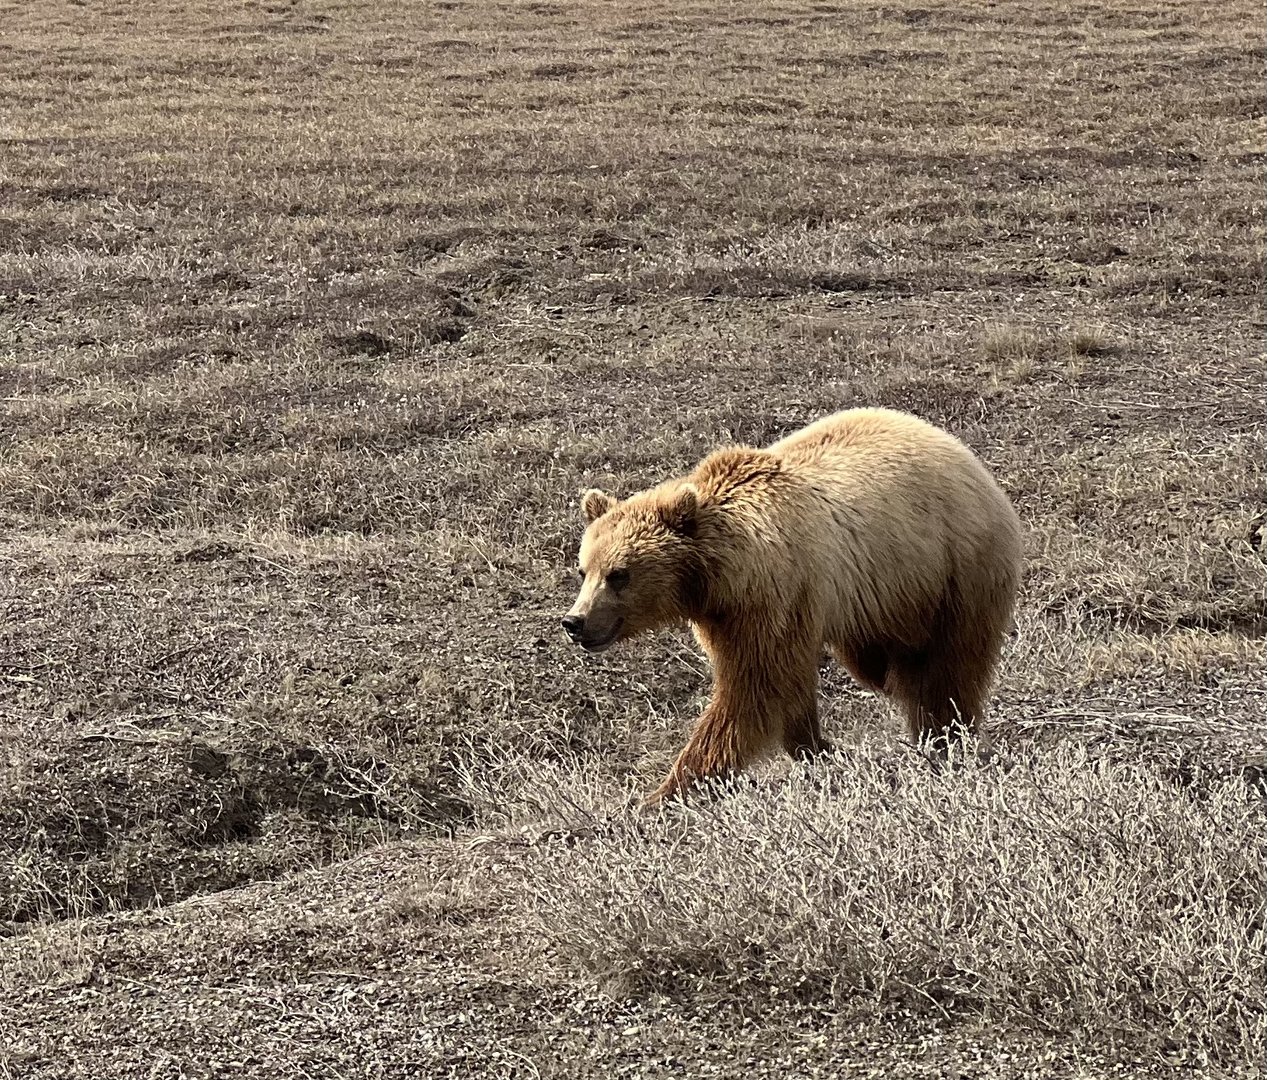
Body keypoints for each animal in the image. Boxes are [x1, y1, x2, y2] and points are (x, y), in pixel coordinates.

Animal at [562, 407, 1023, 804]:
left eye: (619, 574)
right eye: (584, 570)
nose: (575, 621)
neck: (720, 575)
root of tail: (966, 457)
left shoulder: (773, 597)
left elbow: (753, 689)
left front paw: (666, 792)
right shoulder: (730, 617)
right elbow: (786, 689)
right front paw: (819, 747)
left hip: (955, 569)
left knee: (951, 664)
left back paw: (946, 735)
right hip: (890, 595)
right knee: (885, 662)